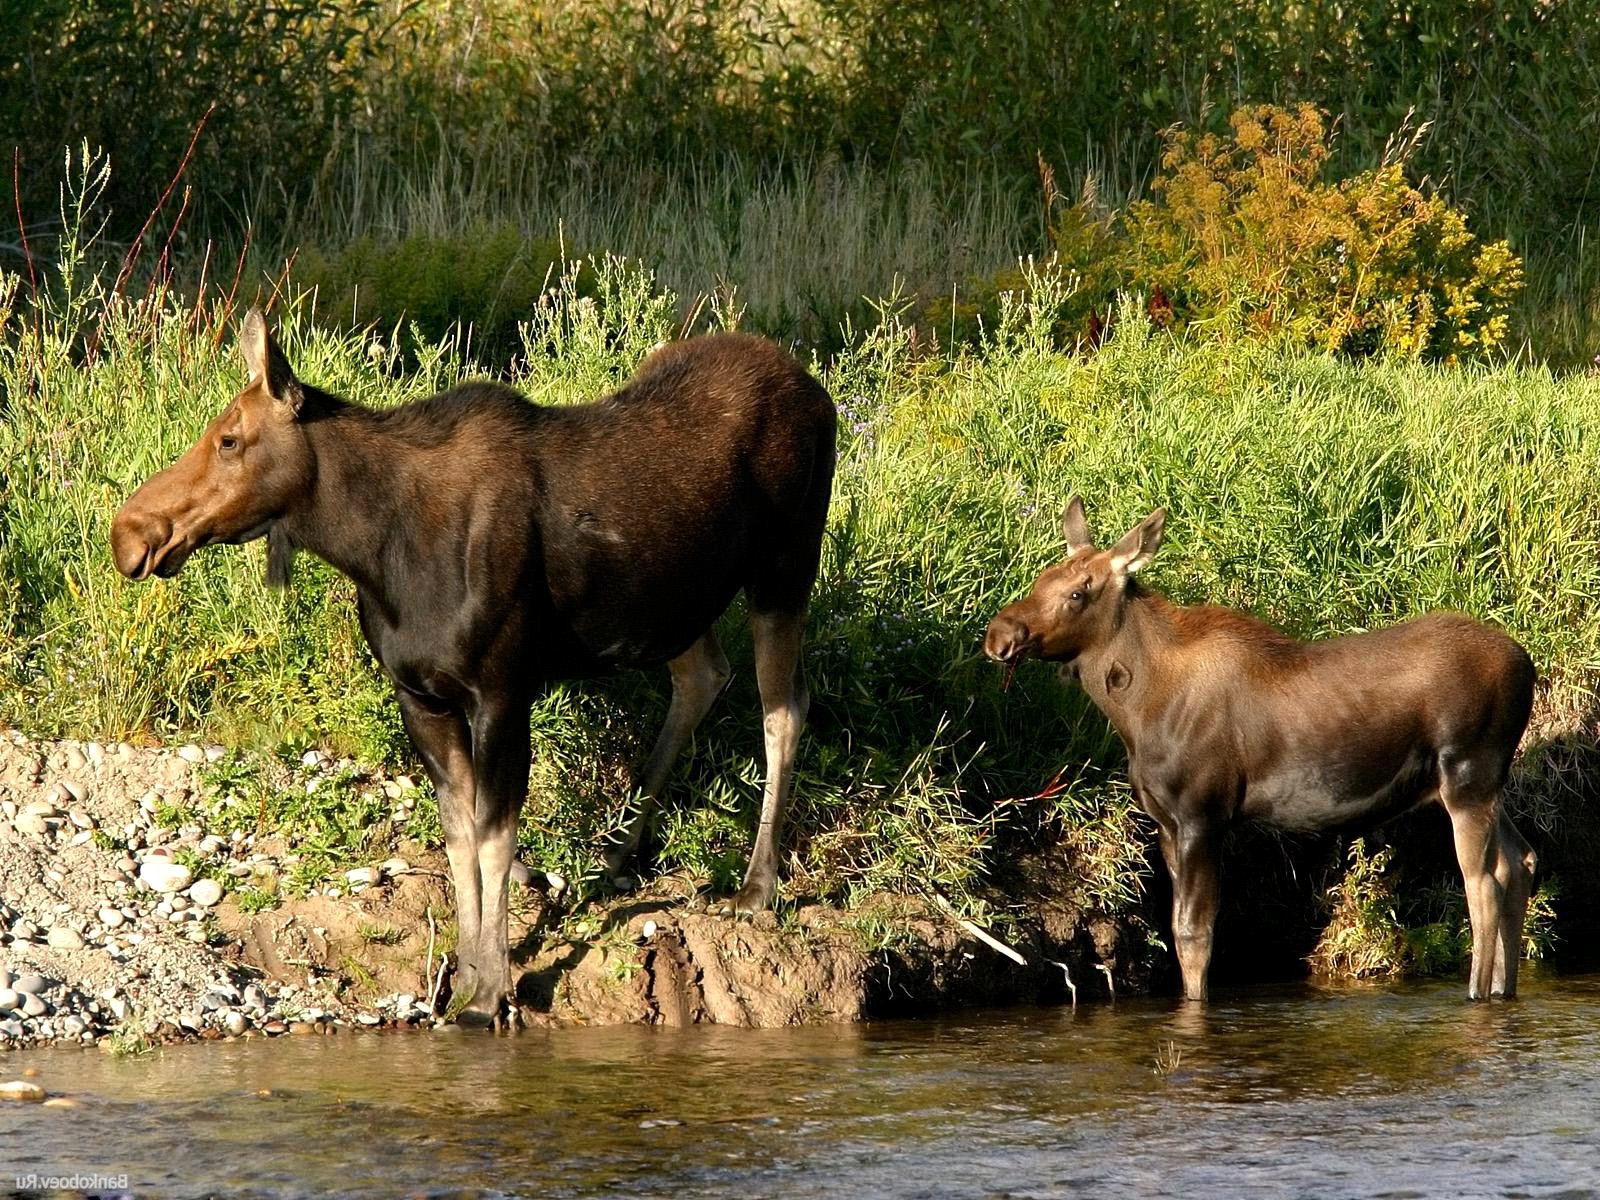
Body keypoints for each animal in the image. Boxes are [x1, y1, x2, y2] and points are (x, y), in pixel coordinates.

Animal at [112, 307, 838, 1024]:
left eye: (229, 440)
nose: (129, 531)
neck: (375, 552)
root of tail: (814, 386)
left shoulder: (502, 689)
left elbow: (494, 831)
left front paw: (491, 989)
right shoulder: (421, 696)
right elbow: (458, 832)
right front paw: (460, 974)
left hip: (785, 567)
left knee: (784, 707)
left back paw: (756, 886)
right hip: (675, 599)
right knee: (704, 675)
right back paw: (613, 853)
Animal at [985, 499, 1536, 1004]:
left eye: (1078, 593)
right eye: (1041, 579)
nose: (999, 635)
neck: (1136, 712)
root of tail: (1528, 666)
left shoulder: (1203, 814)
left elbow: (1194, 934)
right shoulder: (1165, 821)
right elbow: (1178, 930)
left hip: (1467, 775)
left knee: (1483, 882)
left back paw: (1477, 993)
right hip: (1489, 781)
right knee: (1521, 860)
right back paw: (1505, 988)